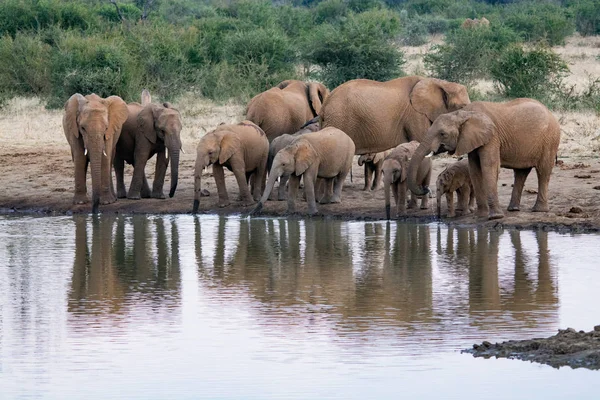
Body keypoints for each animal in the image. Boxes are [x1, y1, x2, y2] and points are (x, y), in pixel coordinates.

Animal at [408, 99, 564, 219]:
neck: (464, 113)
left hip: (550, 140)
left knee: (543, 171)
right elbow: (475, 170)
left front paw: (495, 217)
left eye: (442, 134)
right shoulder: (471, 140)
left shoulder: (492, 137)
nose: (425, 188)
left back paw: (539, 210)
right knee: (521, 173)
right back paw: (513, 209)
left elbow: (489, 166)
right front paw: (482, 215)